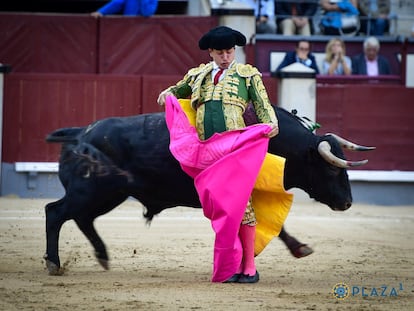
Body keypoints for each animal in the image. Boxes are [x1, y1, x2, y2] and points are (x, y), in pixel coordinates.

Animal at [43, 106, 374, 276]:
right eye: (331, 169)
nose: (347, 202)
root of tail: (80, 133)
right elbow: (269, 226)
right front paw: (295, 249)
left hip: (109, 194)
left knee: (82, 218)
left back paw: (102, 256)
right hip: (94, 191)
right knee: (56, 212)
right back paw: (54, 263)